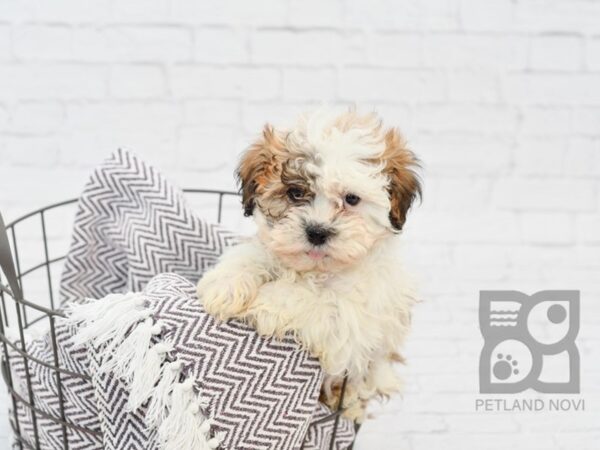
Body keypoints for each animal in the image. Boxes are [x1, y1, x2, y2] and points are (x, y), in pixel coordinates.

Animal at [198, 108, 422, 422]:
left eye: (351, 199)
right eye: (295, 193)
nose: (317, 232)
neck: (317, 270)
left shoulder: (355, 320)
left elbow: (318, 299)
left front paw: (269, 302)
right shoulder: (273, 246)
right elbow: (253, 253)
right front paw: (225, 286)